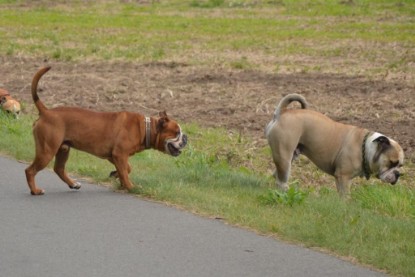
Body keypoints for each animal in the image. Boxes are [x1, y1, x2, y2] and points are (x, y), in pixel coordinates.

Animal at [25, 66, 188, 194]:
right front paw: (130, 187)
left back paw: (73, 184)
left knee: (58, 169)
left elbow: (127, 169)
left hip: (63, 149)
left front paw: (116, 176)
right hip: (47, 151)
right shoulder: (119, 154)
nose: (186, 138)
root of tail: (46, 112)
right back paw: (35, 191)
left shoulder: (114, 156)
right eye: (177, 133)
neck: (146, 128)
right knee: (30, 170)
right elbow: (126, 172)